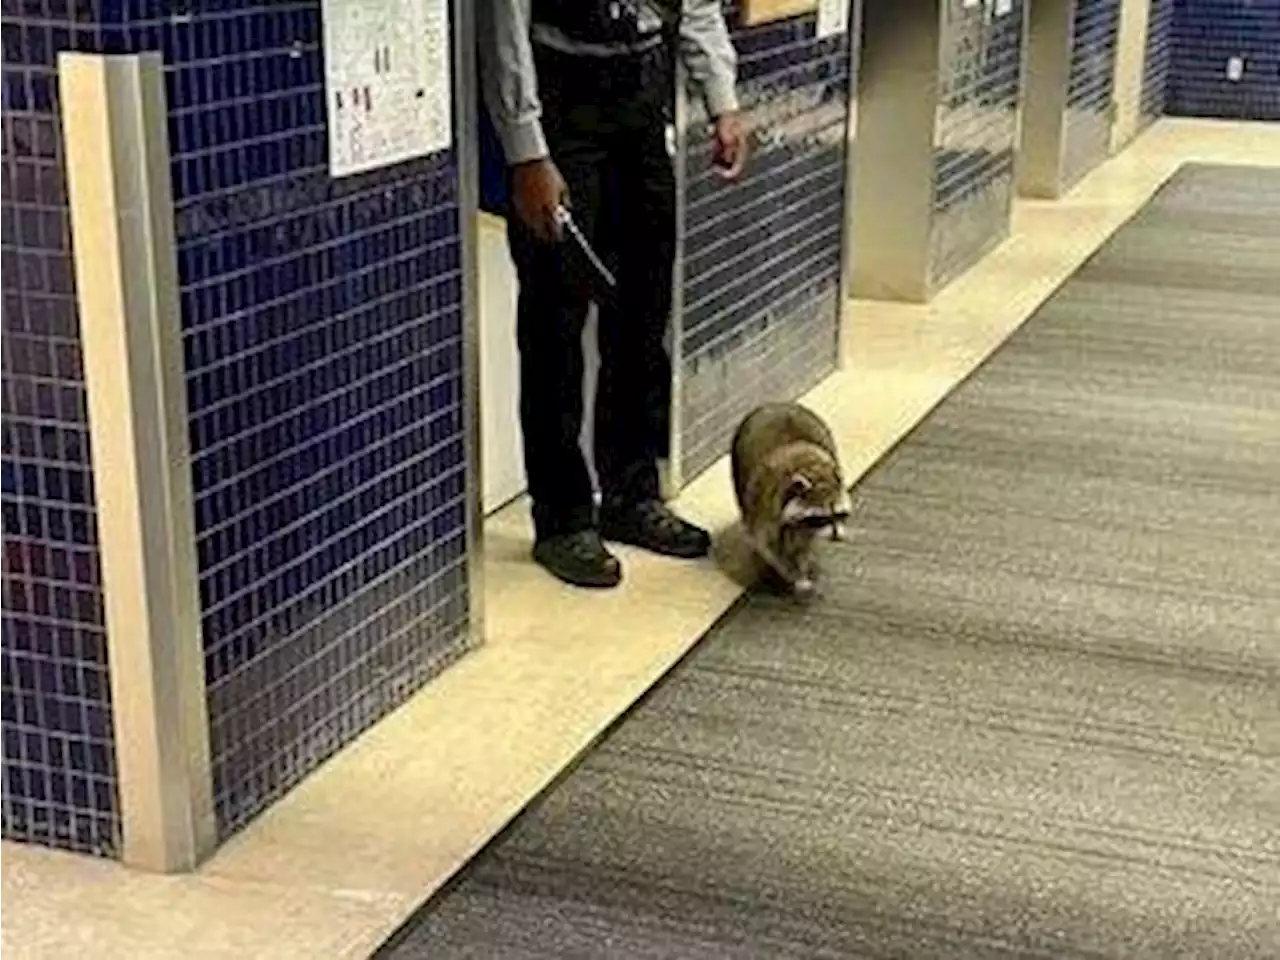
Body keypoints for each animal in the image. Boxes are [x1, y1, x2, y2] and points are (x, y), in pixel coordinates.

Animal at [732, 401, 849, 599]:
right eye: (821, 518)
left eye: (839, 514)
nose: (833, 535)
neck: (814, 472)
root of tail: (777, 404)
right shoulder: (765, 508)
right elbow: (769, 546)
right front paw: (795, 574)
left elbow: (804, 546)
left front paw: (803, 563)